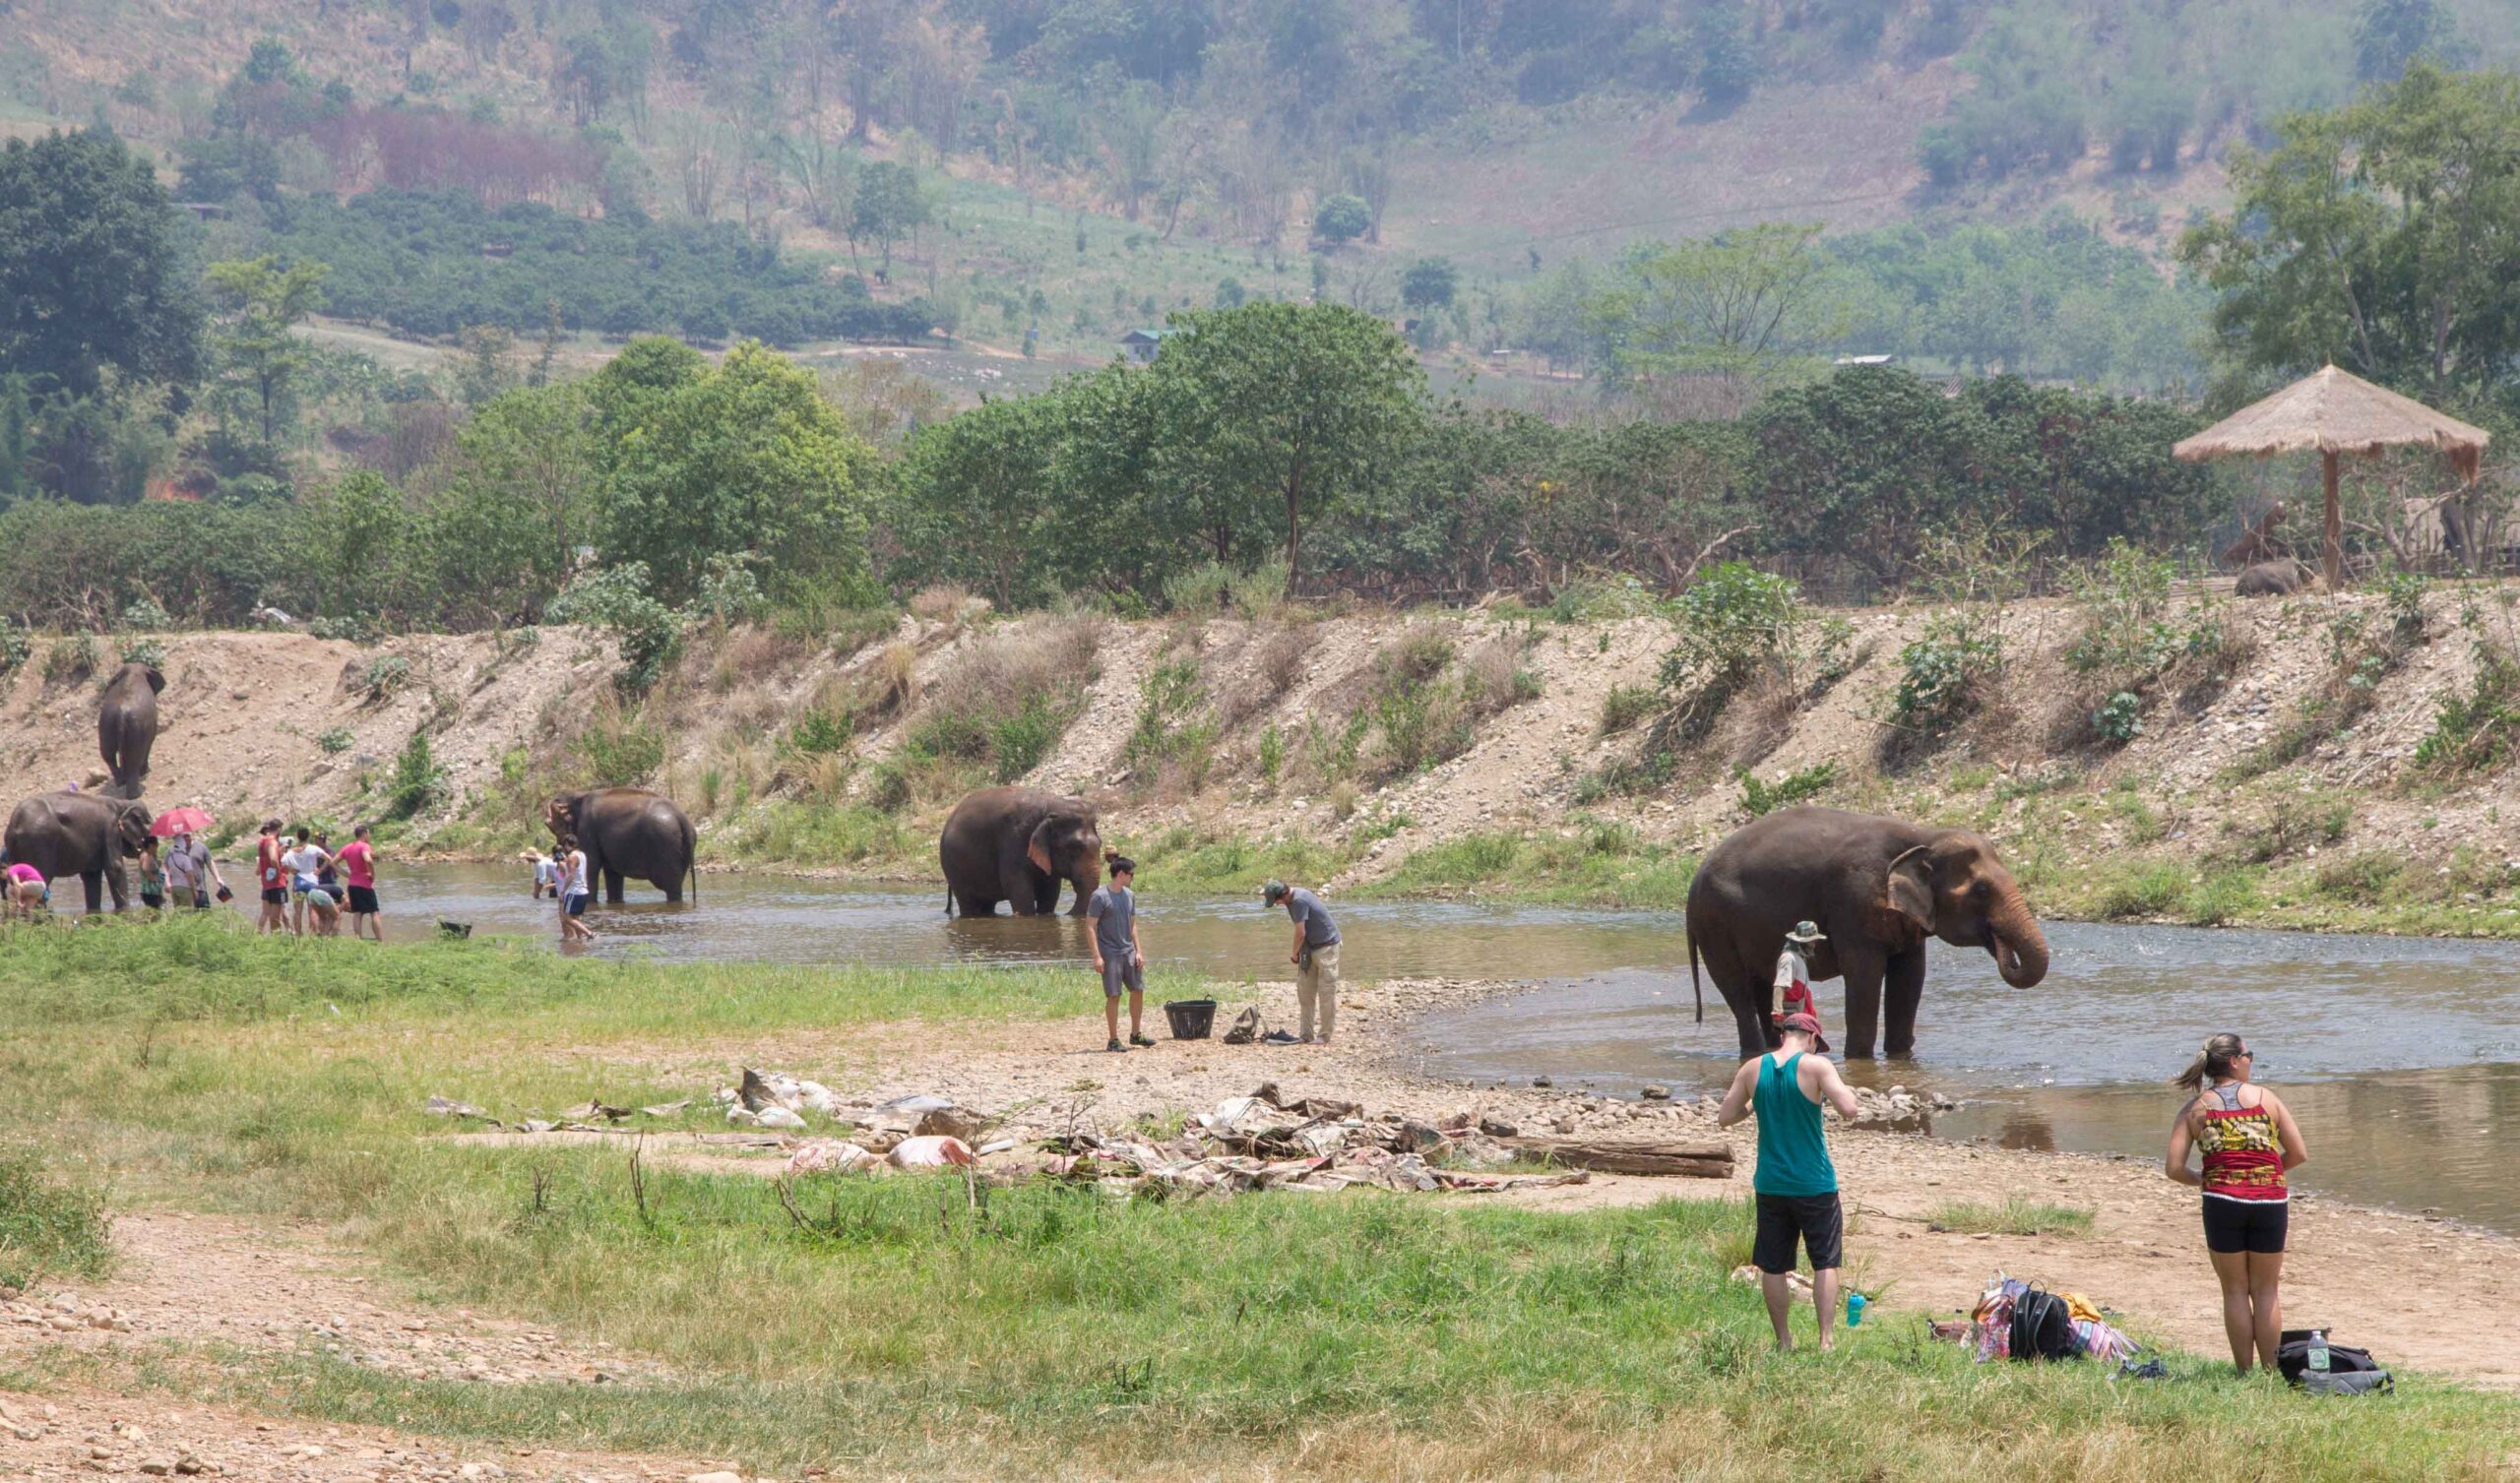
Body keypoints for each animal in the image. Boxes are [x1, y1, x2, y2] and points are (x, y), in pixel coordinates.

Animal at [2, 790, 154, 914]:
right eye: (147, 831)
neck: (121, 803)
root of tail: (16, 819)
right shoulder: (110, 830)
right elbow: (115, 867)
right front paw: (125, 912)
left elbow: (91, 877)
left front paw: (94, 914)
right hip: (39, 842)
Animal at [96, 662, 165, 798]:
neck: (133, 672)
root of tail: (121, 714)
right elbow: (149, 743)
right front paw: (146, 772)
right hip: (137, 730)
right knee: (134, 759)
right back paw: (134, 794)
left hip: (106, 725)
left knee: (108, 755)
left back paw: (121, 782)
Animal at [543, 789, 697, 903]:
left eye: (549, 825)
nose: (553, 893)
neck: (578, 795)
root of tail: (681, 817)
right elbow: (612, 874)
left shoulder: (587, 830)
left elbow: (591, 866)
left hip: (665, 844)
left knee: (672, 887)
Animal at [939, 787, 1104, 917]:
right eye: (1074, 849)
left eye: (1100, 844)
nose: (1065, 914)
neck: (1049, 806)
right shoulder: (1012, 841)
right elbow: (1019, 892)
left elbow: (1050, 893)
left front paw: (1047, 915)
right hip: (954, 869)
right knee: (968, 904)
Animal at [1686, 806, 2051, 1060]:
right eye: (1981, 890)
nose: (2000, 945)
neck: (1922, 835)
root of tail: (1694, 880)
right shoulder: (1854, 903)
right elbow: (1864, 976)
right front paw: (1860, 1058)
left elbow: (1910, 977)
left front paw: (1900, 1056)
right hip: (1713, 925)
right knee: (1738, 990)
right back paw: (1755, 1053)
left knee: (1763, 987)